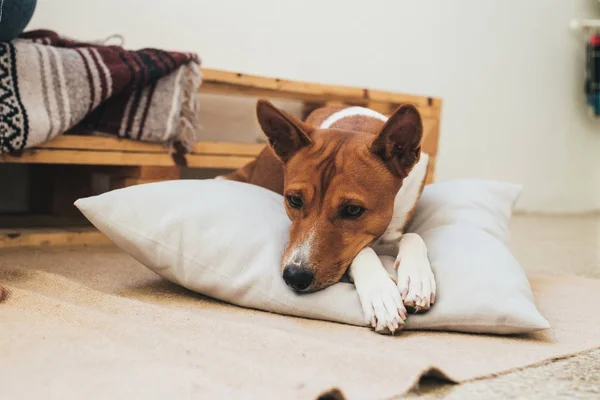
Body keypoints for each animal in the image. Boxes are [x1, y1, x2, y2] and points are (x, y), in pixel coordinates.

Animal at [220, 100, 436, 334]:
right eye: (294, 200)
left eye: (353, 210)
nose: (295, 276)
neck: (356, 124)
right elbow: (362, 252)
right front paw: (381, 295)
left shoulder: (391, 232)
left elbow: (413, 236)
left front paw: (417, 279)